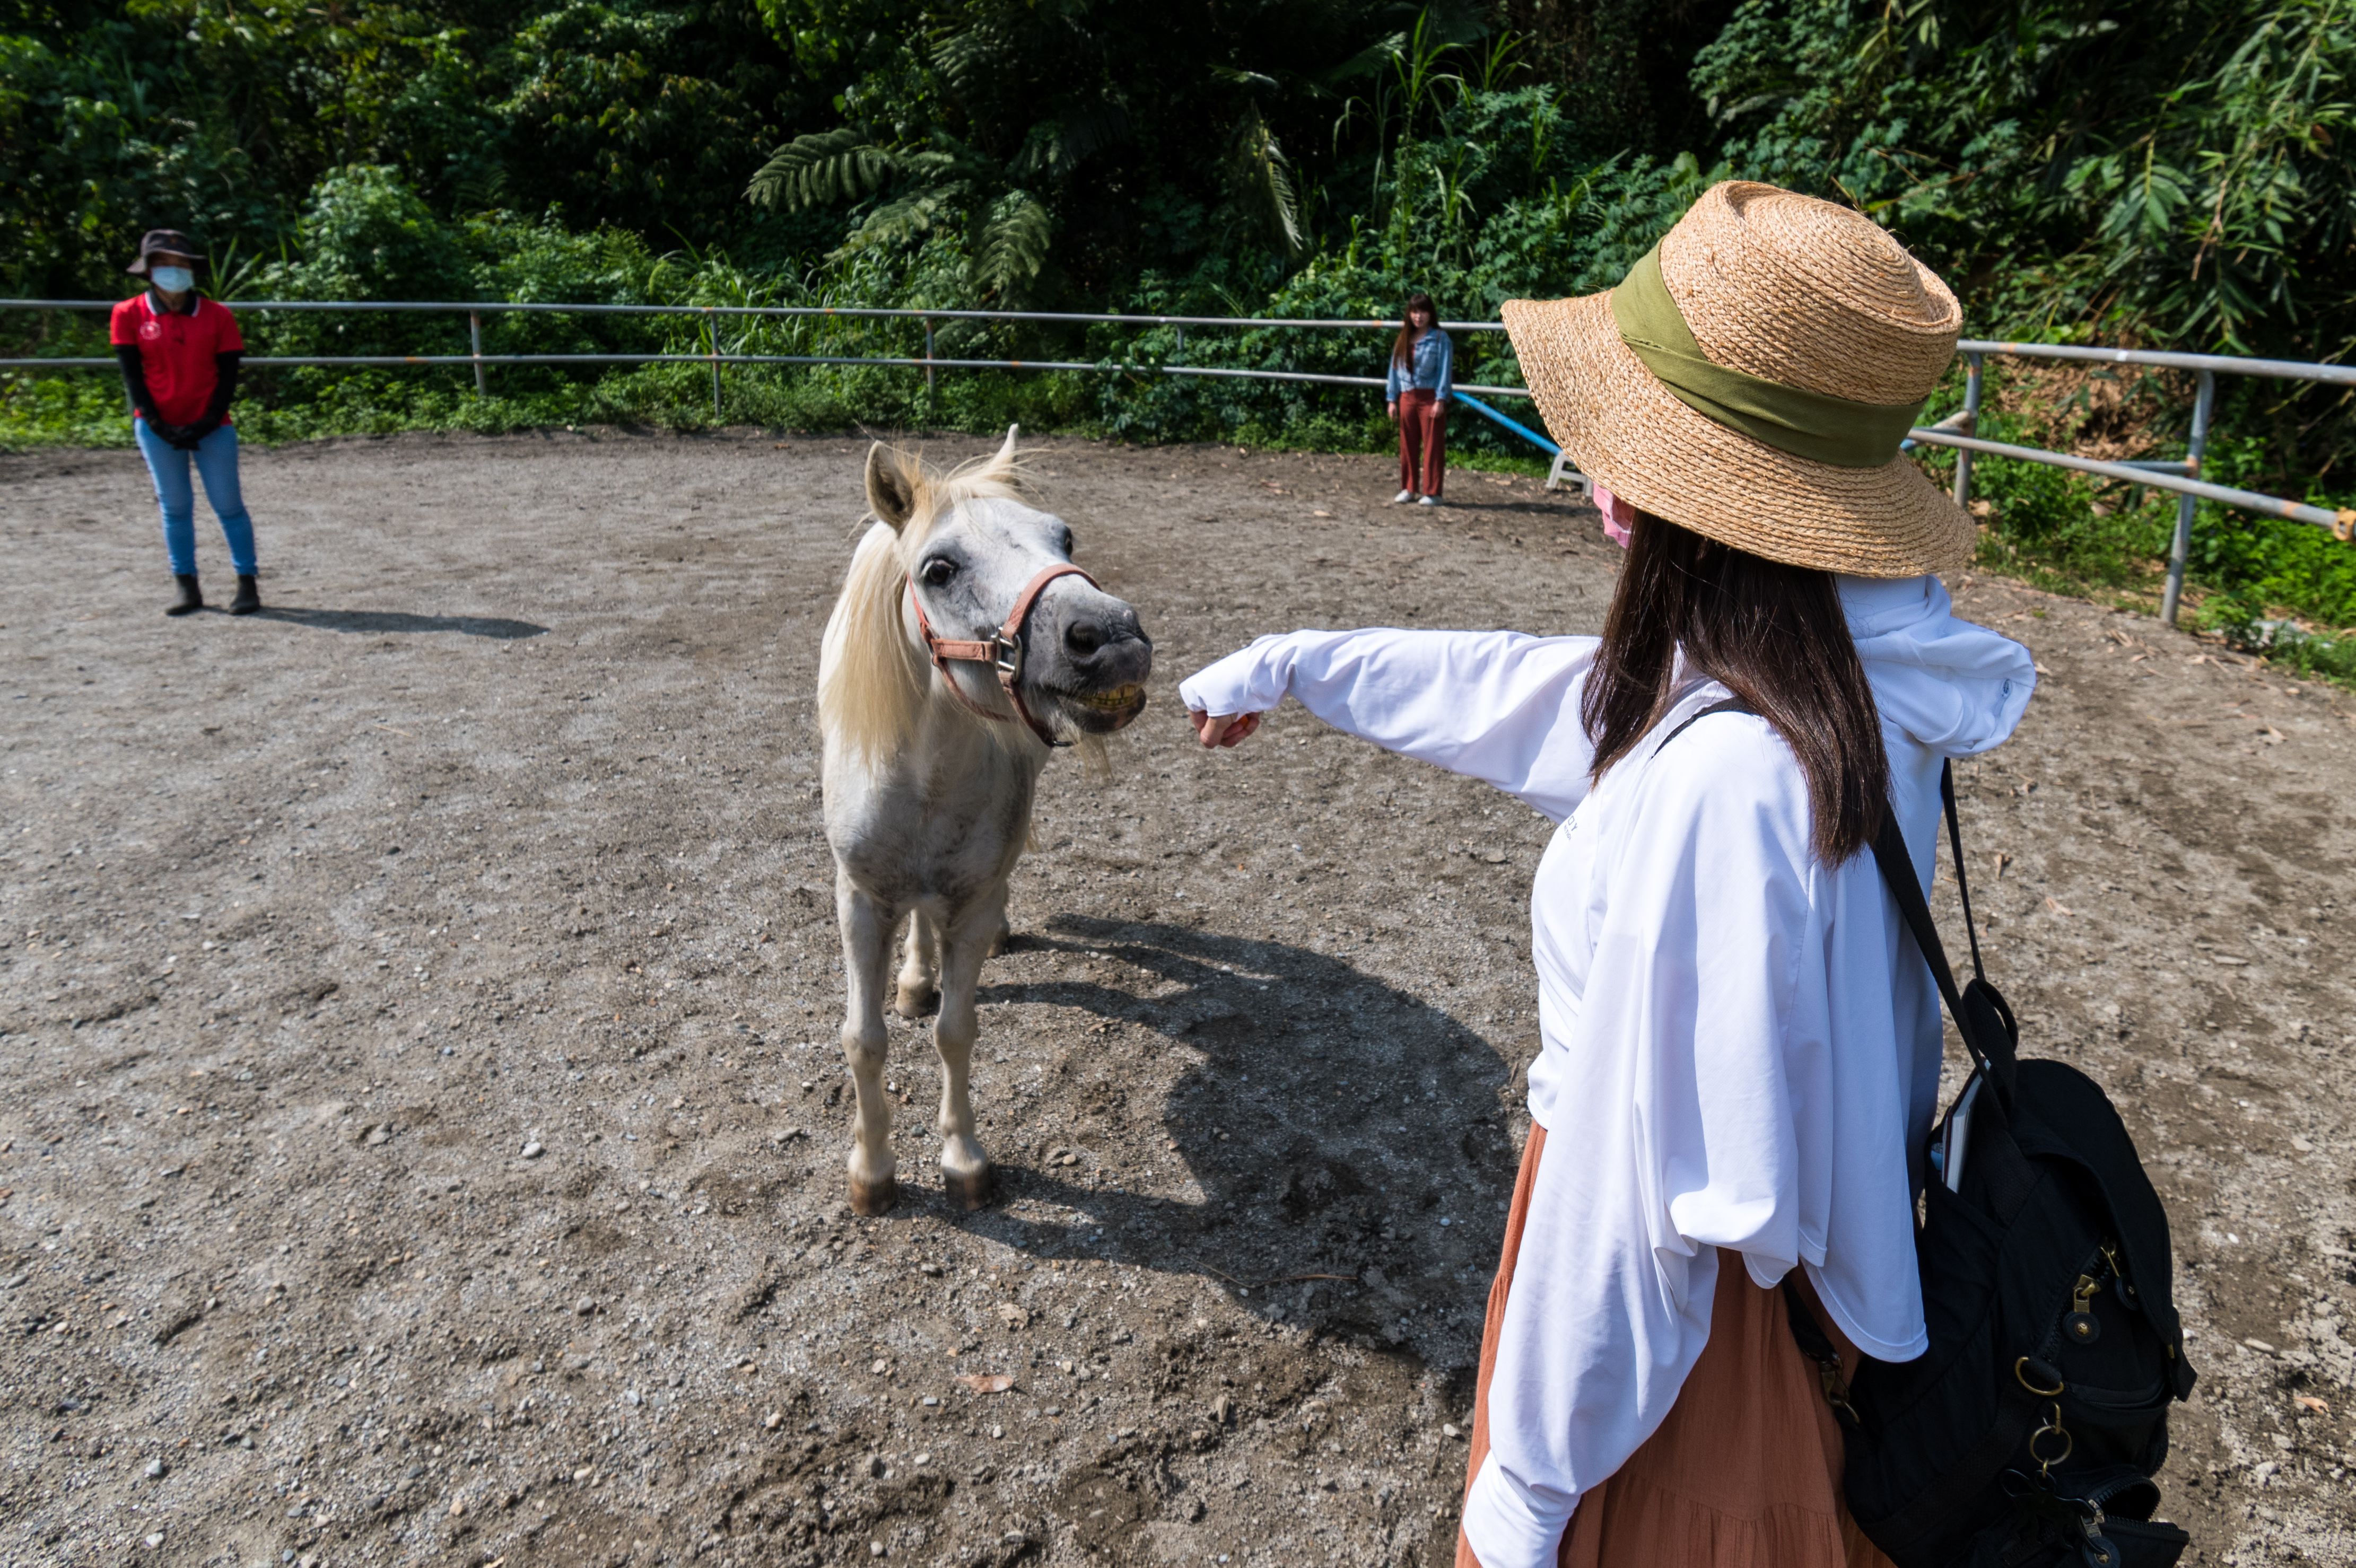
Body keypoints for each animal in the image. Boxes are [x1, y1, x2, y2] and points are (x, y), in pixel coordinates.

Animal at [817, 427, 1153, 1215]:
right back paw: (914, 978)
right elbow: (864, 1039)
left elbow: (956, 1031)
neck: (924, 777)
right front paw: (872, 1171)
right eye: (938, 569)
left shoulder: (968, 902)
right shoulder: (859, 901)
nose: (1113, 637)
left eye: (1065, 536)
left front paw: (962, 1160)